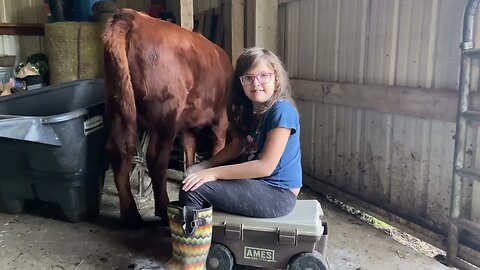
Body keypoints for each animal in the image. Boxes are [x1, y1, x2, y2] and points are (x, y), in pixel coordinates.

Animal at [102, 8, 233, 227]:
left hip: (117, 104)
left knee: (118, 152)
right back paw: (163, 209)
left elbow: (189, 152)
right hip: (166, 113)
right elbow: (217, 149)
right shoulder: (220, 119)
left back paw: (131, 215)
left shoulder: (187, 126)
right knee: (155, 159)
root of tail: (132, 16)